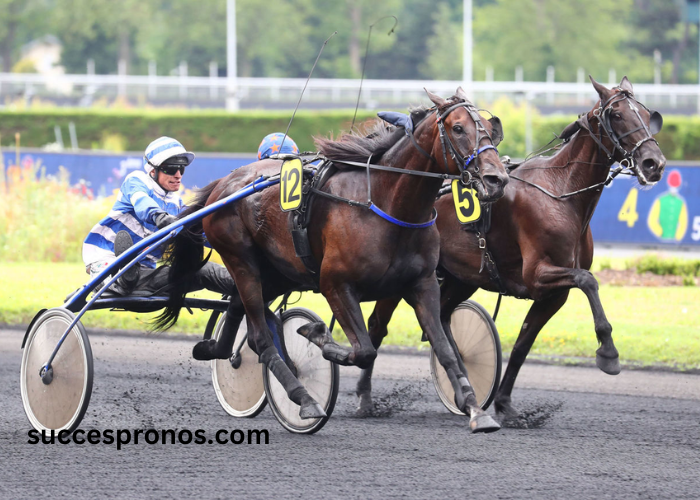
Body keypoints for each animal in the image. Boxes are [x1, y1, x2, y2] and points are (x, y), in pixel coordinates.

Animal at [157, 88, 508, 432]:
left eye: (490, 129)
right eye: (458, 128)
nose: (497, 179)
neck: (386, 205)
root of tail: (223, 184)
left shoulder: (422, 284)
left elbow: (445, 349)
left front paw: (475, 409)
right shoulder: (335, 283)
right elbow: (364, 350)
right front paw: (317, 335)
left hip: (278, 271)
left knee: (238, 308)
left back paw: (215, 349)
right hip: (241, 260)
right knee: (260, 336)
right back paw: (304, 399)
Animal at [360, 77, 668, 422]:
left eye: (647, 114)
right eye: (616, 114)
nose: (654, 163)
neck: (560, 192)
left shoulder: (553, 294)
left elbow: (523, 343)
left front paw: (505, 404)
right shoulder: (537, 274)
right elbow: (588, 281)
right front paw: (608, 353)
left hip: (461, 277)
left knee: (442, 316)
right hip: (404, 275)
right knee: (378, 325)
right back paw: (365, 398)